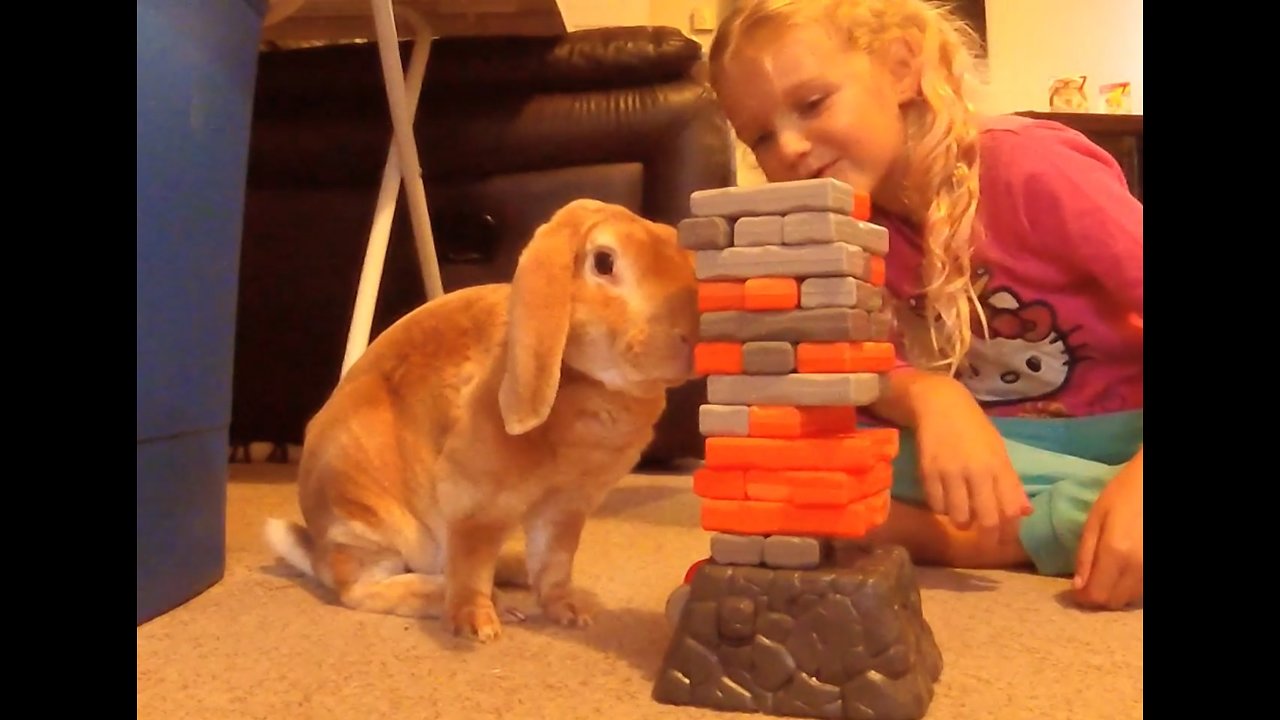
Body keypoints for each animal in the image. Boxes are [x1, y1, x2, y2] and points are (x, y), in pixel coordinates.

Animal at [262, 196, 701, 638]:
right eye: (604, 262)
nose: (689, 337)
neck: (594, 389)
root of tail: (318, 549)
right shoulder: (477, 502)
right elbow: (471, 562)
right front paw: (478, 625)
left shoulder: (565, 508)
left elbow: (555, 565)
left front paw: (571, 614)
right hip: (366, 514)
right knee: (363, 589)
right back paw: (483, 601)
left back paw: (513, 573)